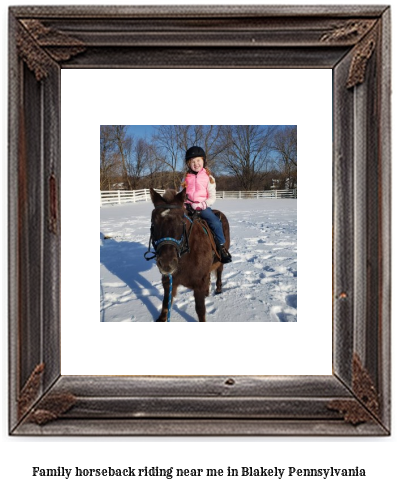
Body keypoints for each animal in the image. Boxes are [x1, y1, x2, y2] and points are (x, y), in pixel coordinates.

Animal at [145, 186, 230, 320]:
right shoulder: (169, 281)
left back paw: (218, 289)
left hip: (220, 260)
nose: (167, 263)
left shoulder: (198, 284)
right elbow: (165, 307)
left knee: (219, 271)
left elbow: (200, 310)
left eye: (181, 221)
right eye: (153, 223)